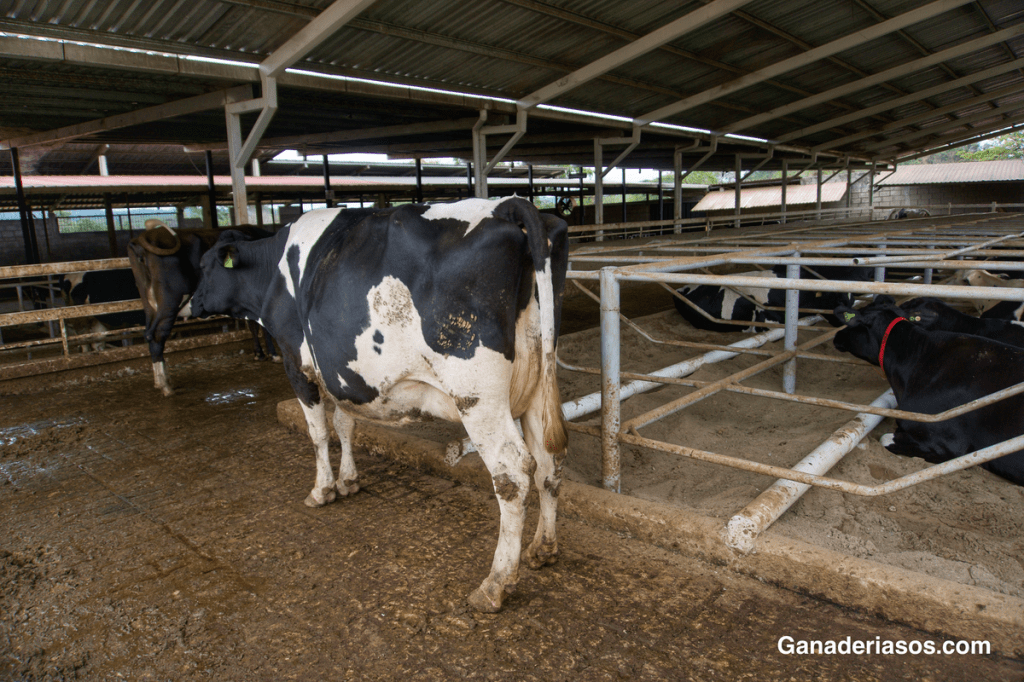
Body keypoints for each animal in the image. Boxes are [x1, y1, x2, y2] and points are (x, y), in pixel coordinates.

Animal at [127, 220, 279, 396]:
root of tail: (141, 239)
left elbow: (253, 326)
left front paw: (259, 354)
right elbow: (263, 327)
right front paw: (273, 354)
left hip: (150, 304)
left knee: (148, 334)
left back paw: (160, 381)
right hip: (170, 300)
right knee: (157, 335)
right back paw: (165, 385)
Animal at [189, 197, 569, 612]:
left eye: (205, 266)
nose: (191, 304)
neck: (274, 273)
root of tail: (508, 205)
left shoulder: (297, 364)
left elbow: (318, 432)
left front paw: (322, 490)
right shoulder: (344, 373)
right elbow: (345, 425)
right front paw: (349, 481)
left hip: (477, 393)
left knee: (513, 472)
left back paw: (495, 584)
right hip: (537, 380)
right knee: (548, 462)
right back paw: (543, 548)